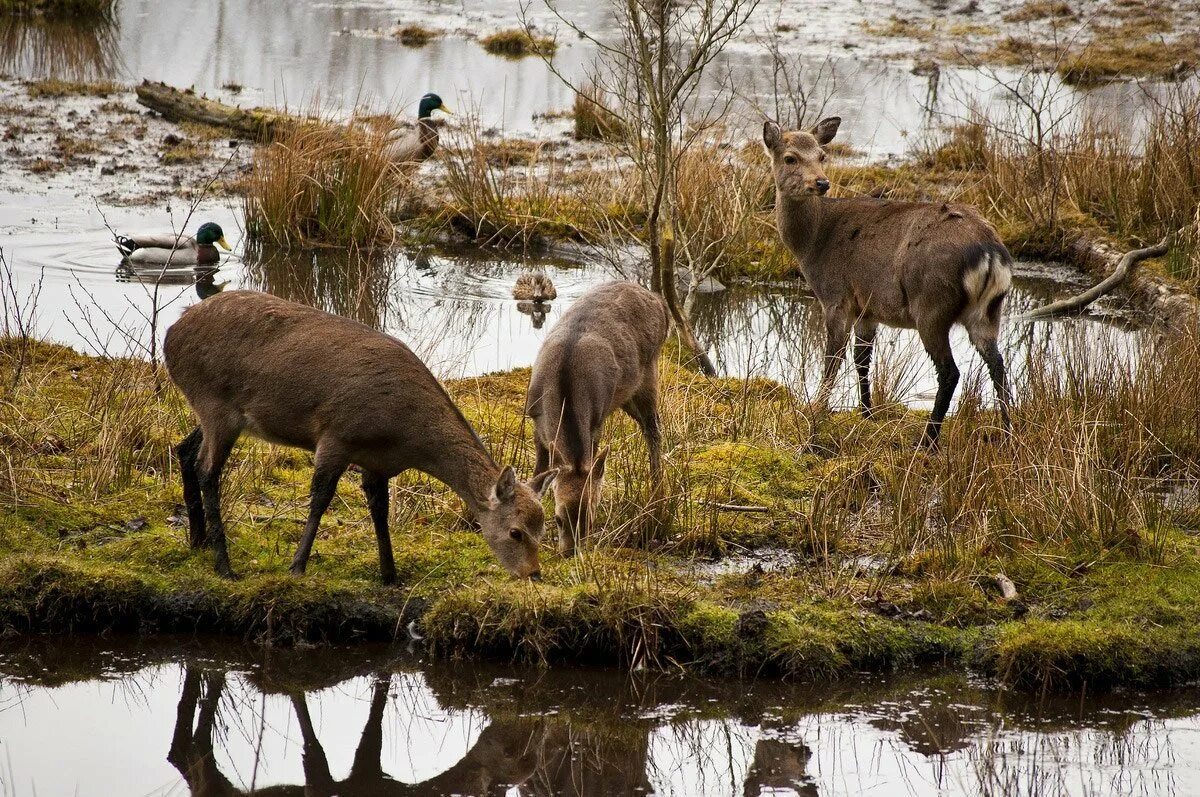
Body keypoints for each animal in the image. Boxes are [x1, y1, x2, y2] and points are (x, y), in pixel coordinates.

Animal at [165, 289, 556, 583]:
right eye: (516, 532)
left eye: (543, 529)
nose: (534, 573)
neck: (404, 435)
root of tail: (171, 335)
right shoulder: (335, 437)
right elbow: (320, 500)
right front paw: (297, 566)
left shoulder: (378, 463)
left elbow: (380, 511)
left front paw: (390, 575)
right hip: (215, 404)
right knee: (207, 470)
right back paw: (224, 566)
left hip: (212, 412)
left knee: (184, 449)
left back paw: (197, 540)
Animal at [525, 279, 672, 554]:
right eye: (558, 519)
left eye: (590, 519)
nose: (570, 553)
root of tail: (659, 302)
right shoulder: (535, 421)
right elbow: (539, 473)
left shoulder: (595, 423)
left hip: (648, 373)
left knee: (654, 428)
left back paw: (657, 492)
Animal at [758, 117, 1012, 448]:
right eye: (790, 158)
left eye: (822, 156)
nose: (822, 183)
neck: (813, 244)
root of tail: (990, 252)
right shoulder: (868, 308)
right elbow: (862, 360)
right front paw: (867, 414)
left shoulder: (836, 296)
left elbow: (833, 359)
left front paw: (817, 412)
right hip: (989, 312)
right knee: (998, 363)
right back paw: (1008, 432)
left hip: (931, 305)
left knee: (950, 372)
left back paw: (929, 440)